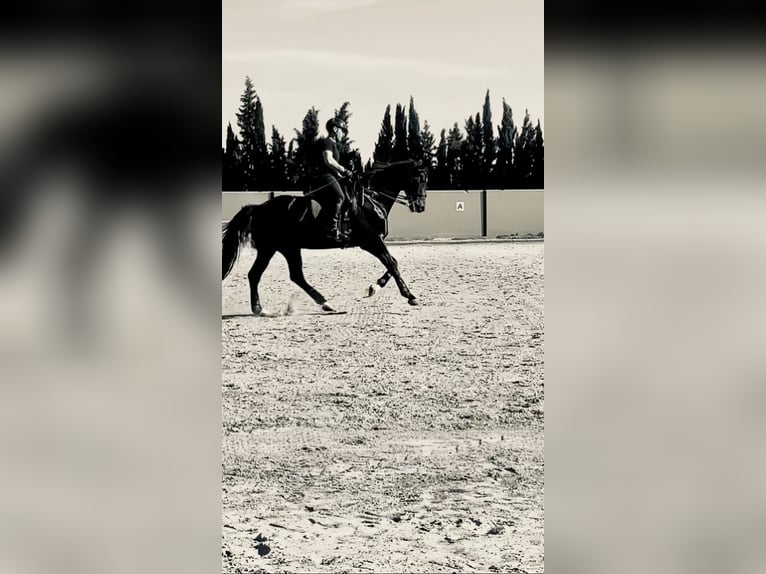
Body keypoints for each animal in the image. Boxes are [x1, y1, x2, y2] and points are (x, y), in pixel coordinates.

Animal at [222, 160, 428, 315]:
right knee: (262, 275)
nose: (420, 206)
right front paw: (410, 296)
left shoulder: (375, 241)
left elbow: (393, 262)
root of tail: (258, 208)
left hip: (284, 248)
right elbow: (392, 263)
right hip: (273, 248)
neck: (372, 199)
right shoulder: (371, 241)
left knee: (282, 275)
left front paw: (375, 287)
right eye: (419, 179)